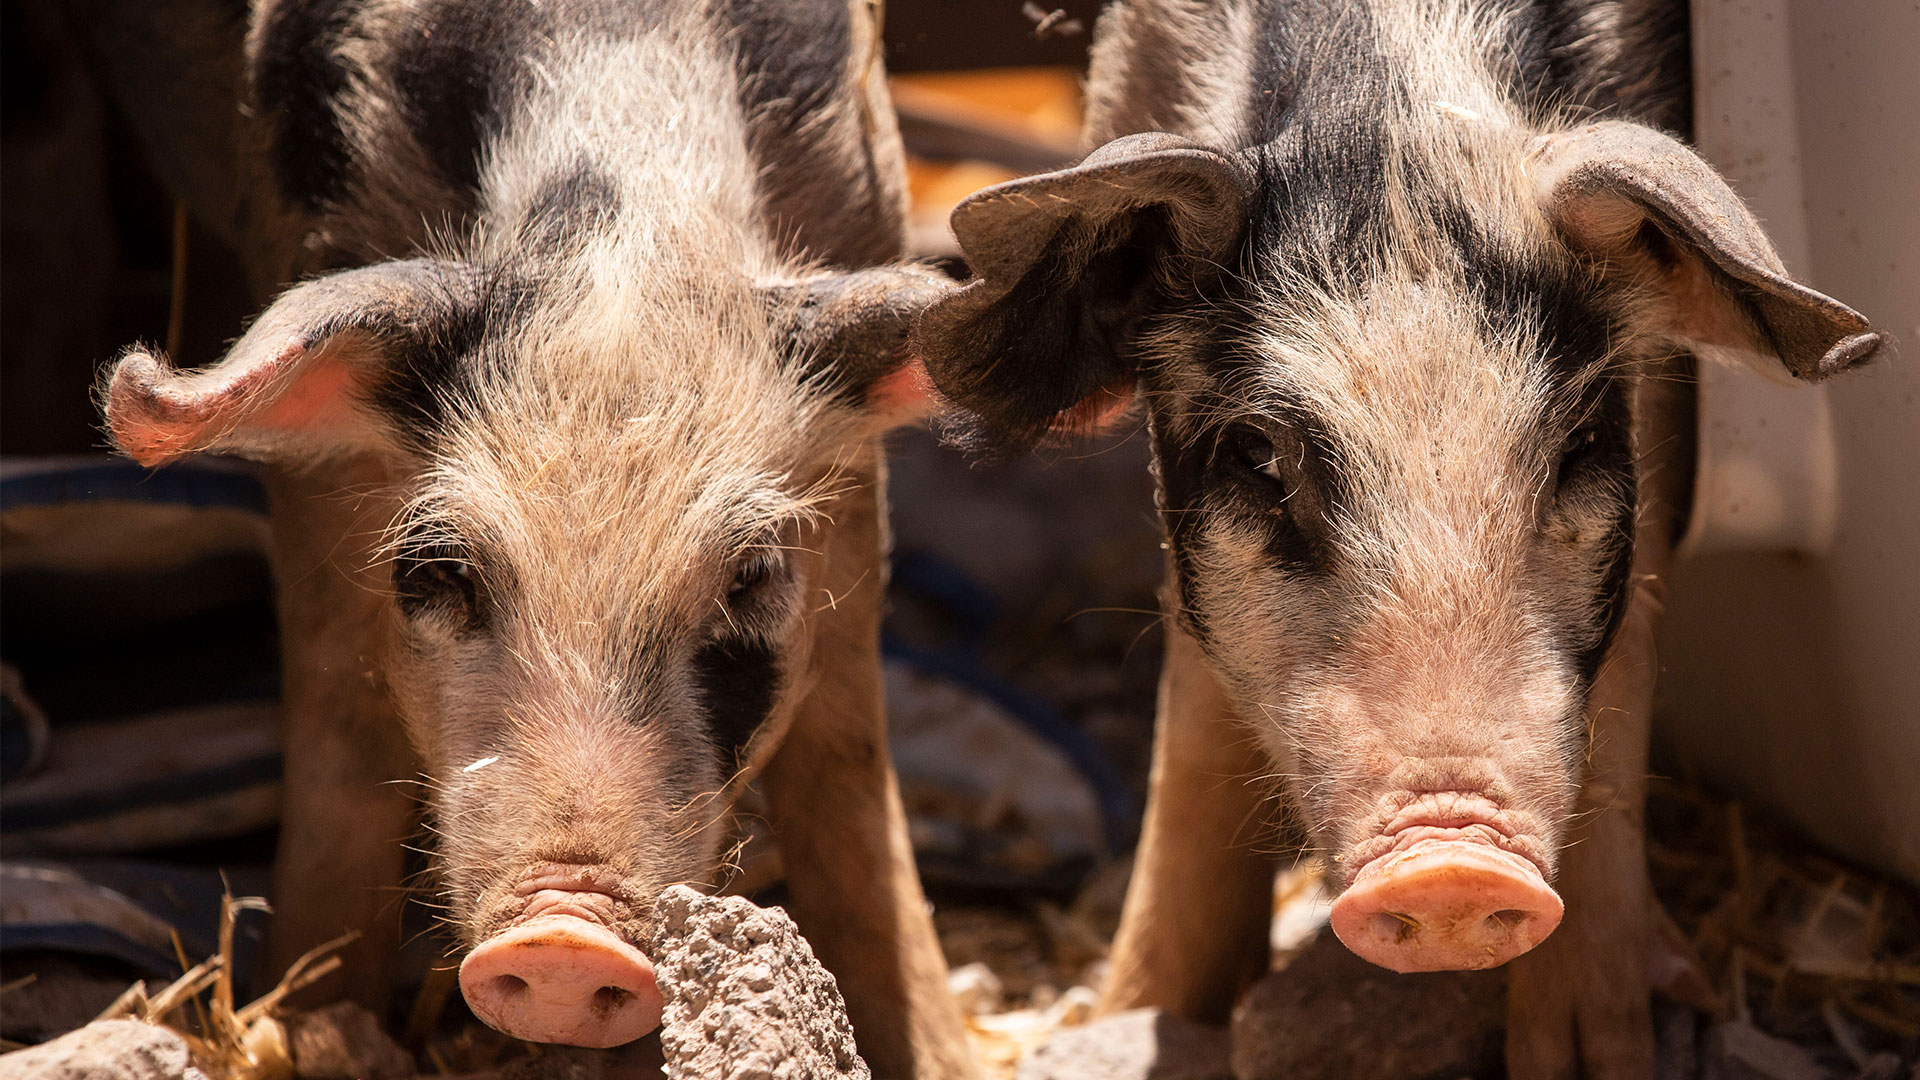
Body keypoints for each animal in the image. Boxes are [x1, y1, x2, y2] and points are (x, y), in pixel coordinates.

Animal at [92, 1, 976, 1074]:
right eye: (440, 569)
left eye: (753, 576)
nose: (562, 938)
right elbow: (339, 710)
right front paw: (300, 1025)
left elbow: (849, 750)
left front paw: (939, 1051)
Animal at [911, 1, 1882, 1076]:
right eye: (1258, 455)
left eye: (1580, 442)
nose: (1451, 868)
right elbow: (1193, 707)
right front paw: (1136, 1009)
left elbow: (1629, 648)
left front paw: (1599, 1056)